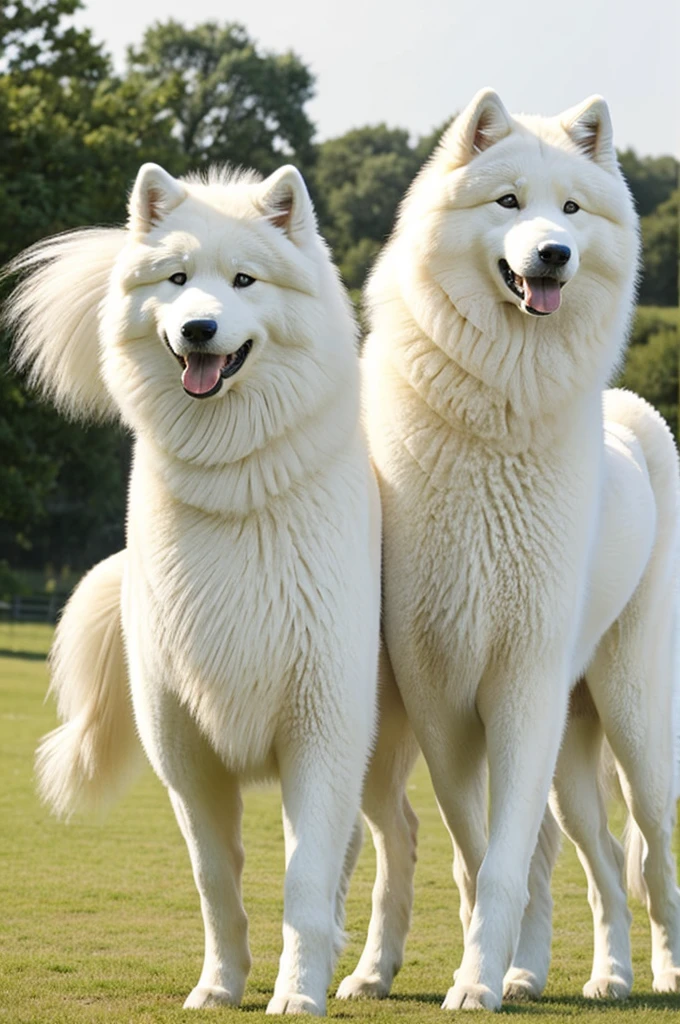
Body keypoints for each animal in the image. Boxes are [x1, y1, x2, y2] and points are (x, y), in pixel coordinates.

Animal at [3, 163, 376, 1011]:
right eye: (176, 280)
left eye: (244, 280)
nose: (200, 330)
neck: (236, 483)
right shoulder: (183, 748)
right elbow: (215, 881)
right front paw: (220, 985)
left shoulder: (322, 731)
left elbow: (304, 878)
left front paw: (296, 994)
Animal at [337, 88, 680, 1007]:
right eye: (508, 202)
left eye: (572, 209)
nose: (553, 254)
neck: (501, 403)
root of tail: (635, 420)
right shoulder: (440, 691)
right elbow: (484, 855)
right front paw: (487, 974)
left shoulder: (523, 683)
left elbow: (504, 862)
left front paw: (477, 981)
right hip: (570, 747)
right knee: (598, 858)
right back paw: (585, 974)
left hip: (633, 723)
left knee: (653, 856)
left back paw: (658, 969)